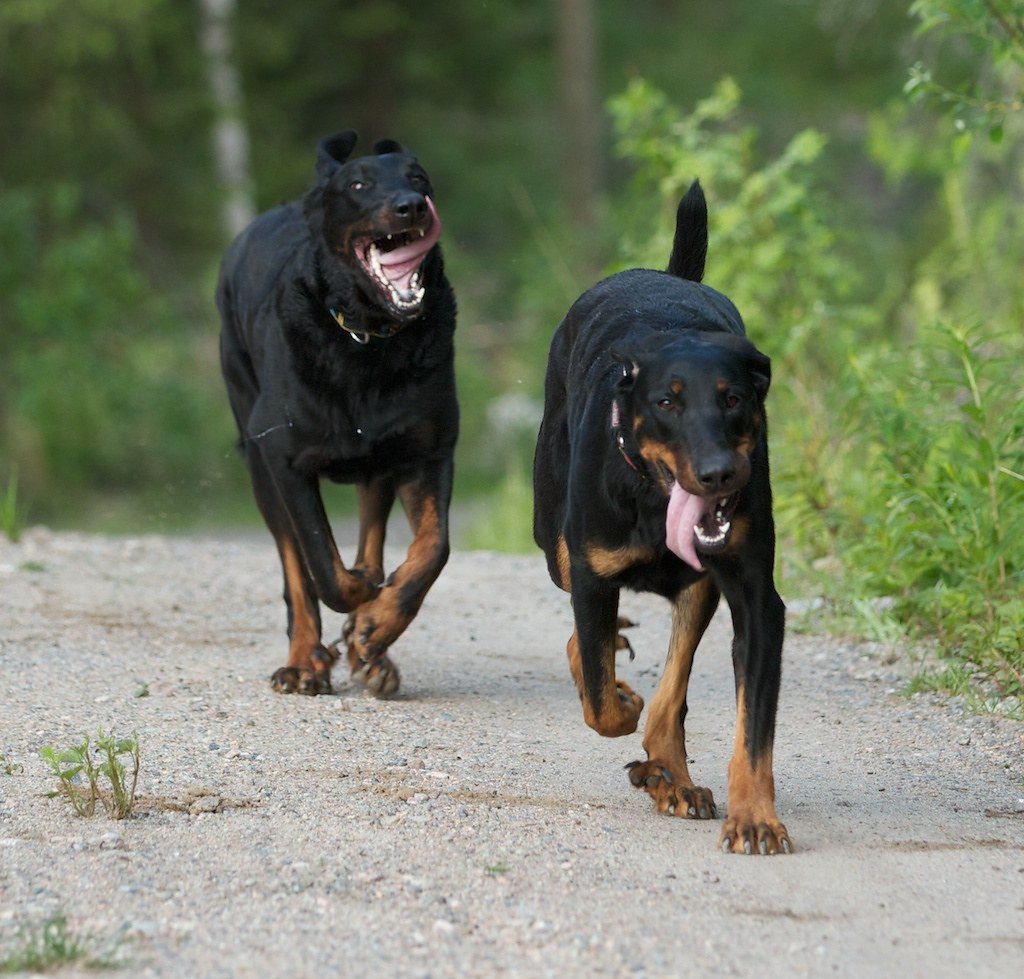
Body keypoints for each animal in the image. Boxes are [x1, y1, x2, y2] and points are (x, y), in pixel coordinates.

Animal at [218, 132, 458, 696]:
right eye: (358, 185)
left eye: (419, 178)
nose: (410, 206)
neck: (367, 337)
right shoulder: (283, 459)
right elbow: (321, 566)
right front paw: (360, 614)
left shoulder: (428, 448)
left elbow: (433, 547)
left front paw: (378, 624)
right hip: (257, 459)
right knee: (296, 569)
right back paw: (304, 661)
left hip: (380, 460)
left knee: (372, 532)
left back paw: (375, 649)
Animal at [532, 183, 786, 856]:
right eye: (667, 401)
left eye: (734, 398)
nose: (720, 473)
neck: (650, 499)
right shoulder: (591, 570)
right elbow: (601, 699)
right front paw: (620, 700)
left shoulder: (756, 599)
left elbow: (749, 727)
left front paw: (754, 817)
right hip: (555, 541)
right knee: (587, 641)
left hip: (698, 586)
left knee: (673, 686)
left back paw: (671, 775)